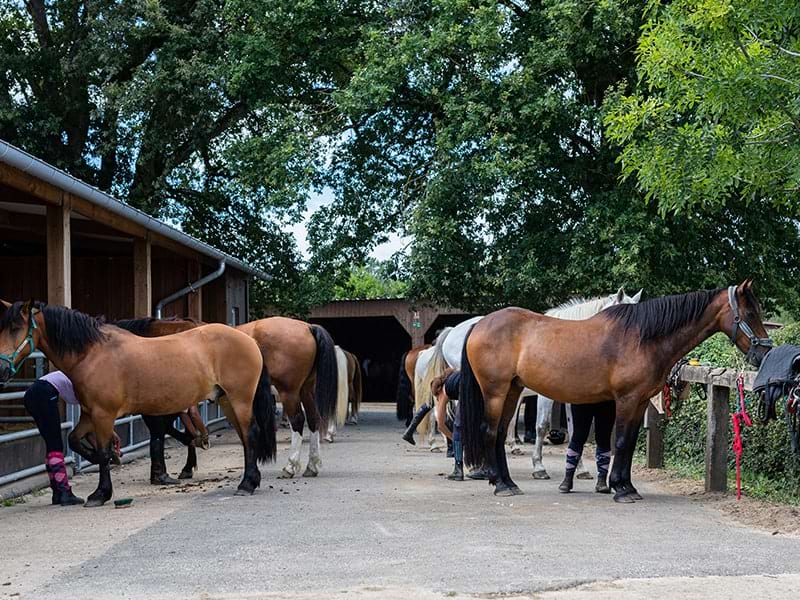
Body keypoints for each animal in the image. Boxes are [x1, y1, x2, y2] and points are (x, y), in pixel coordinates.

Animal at [0, 300, 276, 506]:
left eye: (15, 328)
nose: (1, 368)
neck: (93, 354)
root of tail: (249, 340)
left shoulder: (103, 414)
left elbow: (103, 451)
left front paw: (100, 493)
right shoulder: (89, 414)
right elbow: (75, 440)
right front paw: (104, 460)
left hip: (239, 399)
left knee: (250, 434)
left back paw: (246, 484)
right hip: (228, 401)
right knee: (245, 437)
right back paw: (249, 480)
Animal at [434, 290, 640, 478]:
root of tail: (455, 330)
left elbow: (574, 430)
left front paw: (580, 469)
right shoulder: (545, 396)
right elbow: (541, 426)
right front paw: (539, 467)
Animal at [460, 282, 772, 502]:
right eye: (749, 313)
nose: (763, 354)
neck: (643, 337)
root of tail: (479, 324)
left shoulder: (640, 401)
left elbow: (629, 443)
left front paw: (625, 485)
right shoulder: (626, 400)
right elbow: (621, 441)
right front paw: (621, 490)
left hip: (512, 391)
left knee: (501, 432)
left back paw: (508, 483)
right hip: (495, 391)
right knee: (490, 431)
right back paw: (500, 484)